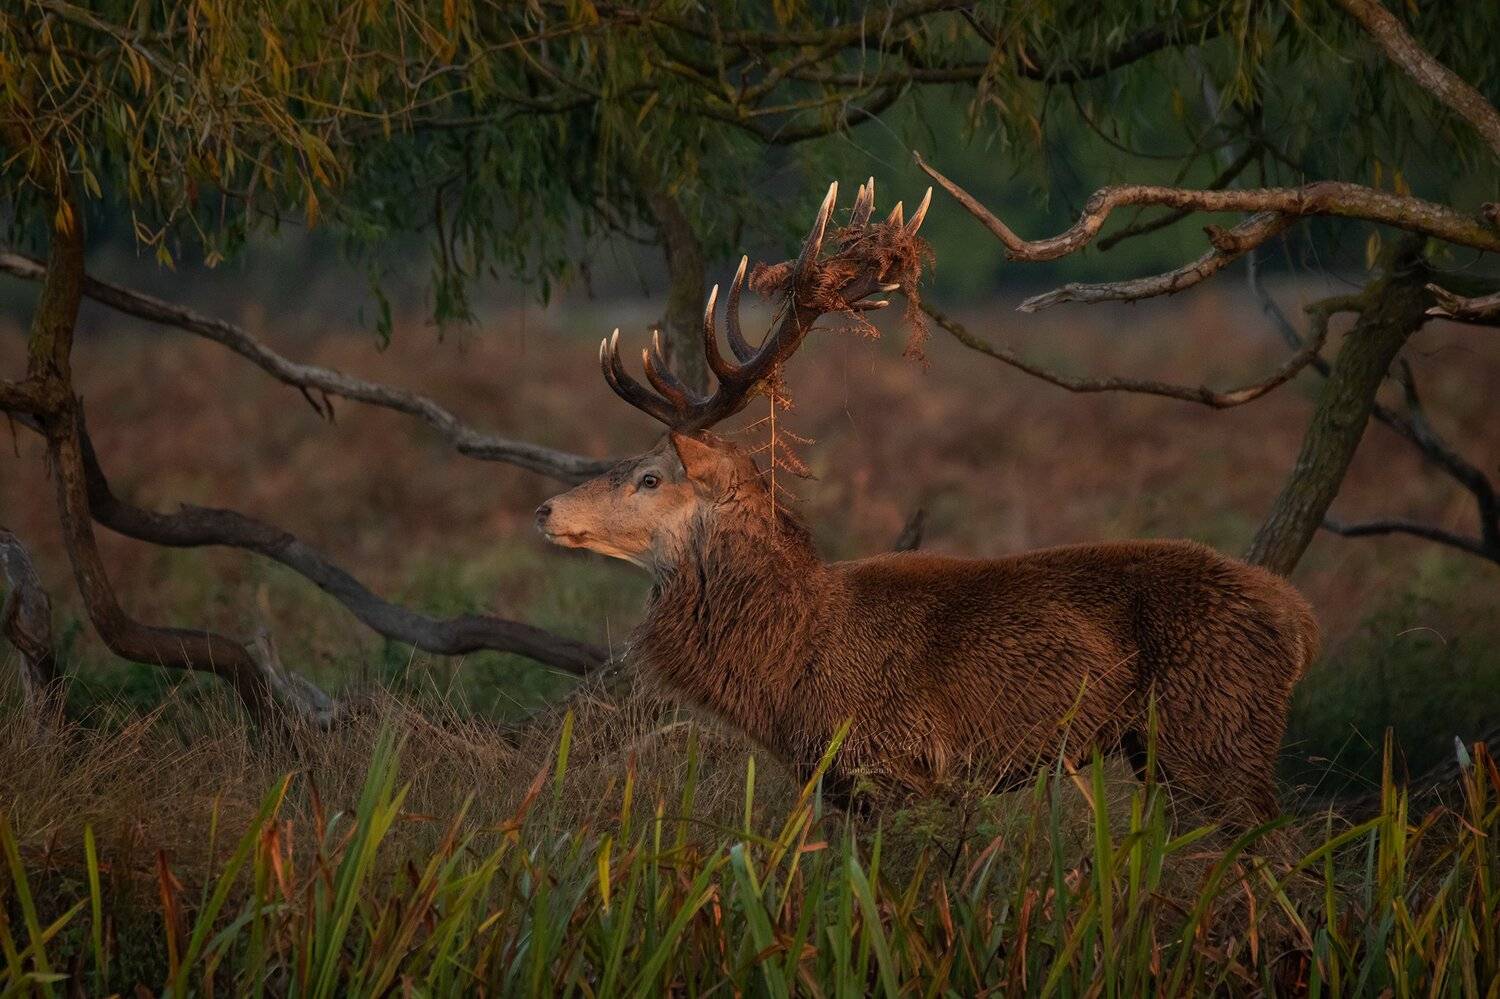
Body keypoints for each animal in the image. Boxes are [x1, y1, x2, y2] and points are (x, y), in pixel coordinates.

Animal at [536, 181, 1319, 824]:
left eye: (650, 477)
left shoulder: (903, 767)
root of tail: (1300, 619)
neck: (790, 671)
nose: (545, 511)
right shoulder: (846, 790)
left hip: (1213, 731)